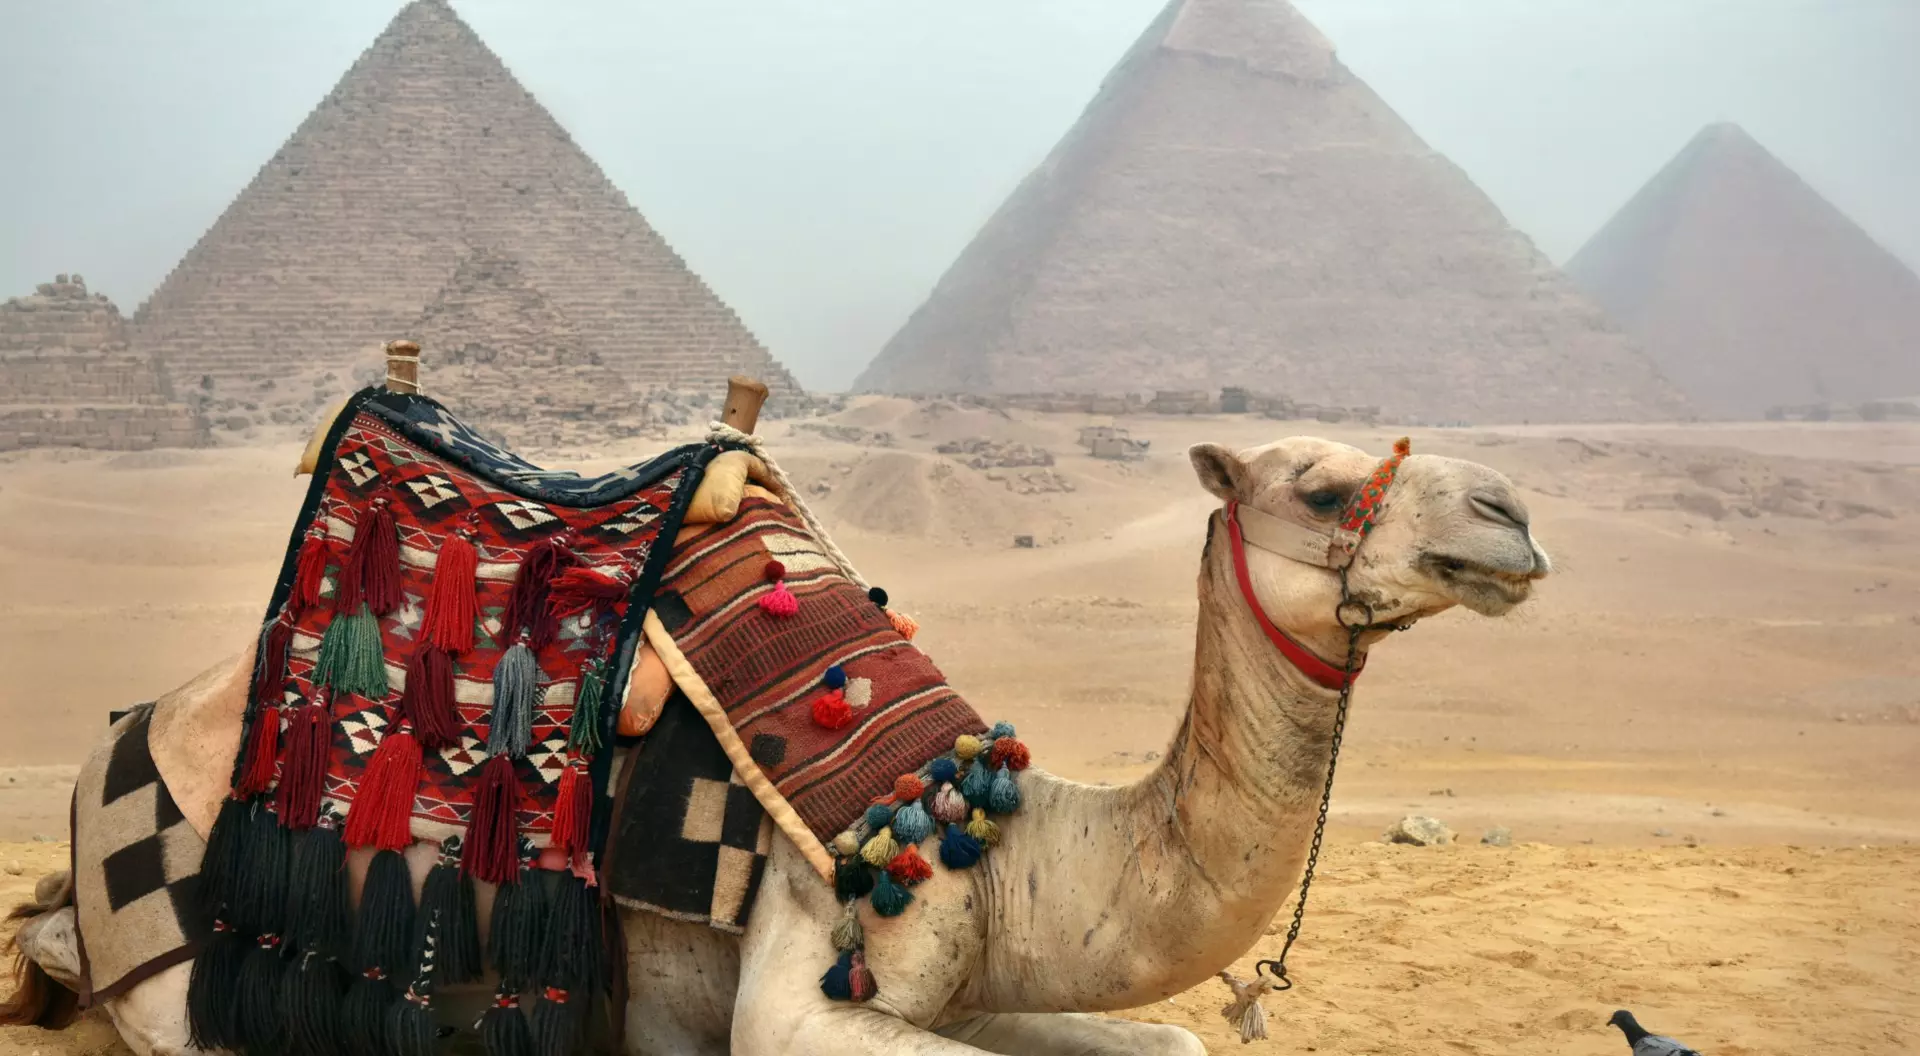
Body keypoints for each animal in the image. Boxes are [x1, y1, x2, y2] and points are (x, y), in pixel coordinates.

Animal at [5, 431, 1550, 1055]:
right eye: (1325, 488)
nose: (1514, 516)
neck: (1003, 838)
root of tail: (103, 757)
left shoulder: (963, 980)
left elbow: (1169, 1040)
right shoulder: (812, 968)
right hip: (181, 941)